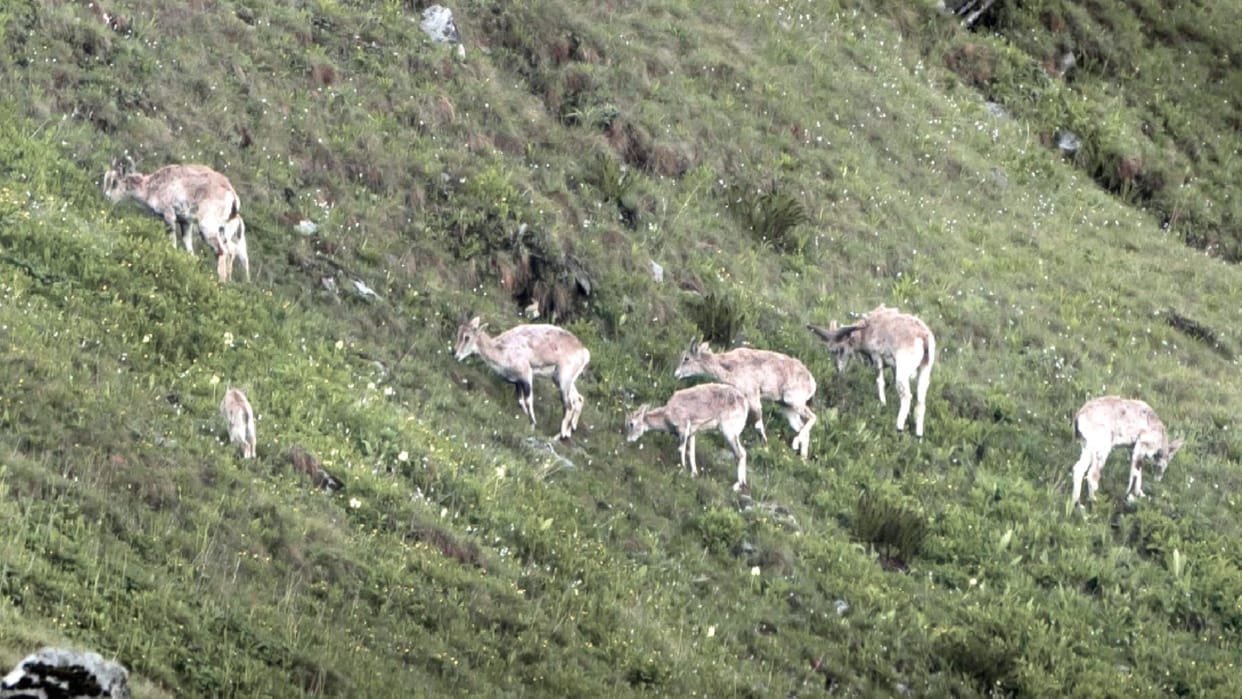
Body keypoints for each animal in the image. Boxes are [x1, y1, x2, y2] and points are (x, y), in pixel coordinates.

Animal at [102, 156, 250, 282]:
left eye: (114, 182)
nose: (107, 198)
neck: (153, 187)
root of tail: (232, 196)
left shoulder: (169, 215)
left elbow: (172, 242)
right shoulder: (185, 222)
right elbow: (189, 248)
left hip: (208, 227)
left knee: (223, 251)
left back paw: (221, 282)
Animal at [454, 316, 590, 440]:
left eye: (467, 337)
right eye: (459, 332)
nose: (455, 355)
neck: (502, 350)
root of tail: (584, 352)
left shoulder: (526, 374)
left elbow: (528, 401)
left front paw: (533, 424)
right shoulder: (517, 382)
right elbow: (520, 402)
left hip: (564, 378)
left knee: (569, 405)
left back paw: (560, 435)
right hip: (560, 379)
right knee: (578, 399)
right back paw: (570, 430)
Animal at [673, 341, 817, 459]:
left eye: (686, 358)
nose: (676, 374)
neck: (730, 367)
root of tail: (812, 382)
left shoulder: (753, 396)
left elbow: (758, 424)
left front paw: (765, 444)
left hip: (794, 401)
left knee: (812, 417)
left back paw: (795, 444)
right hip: (787, 408)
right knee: (801, 427)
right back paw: (803, 458)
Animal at [808, 304, 936, 438]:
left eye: (841, 349)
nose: (839, 371)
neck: (867, 330)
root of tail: (923, 336)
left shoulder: (877, 358)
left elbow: (880, 382)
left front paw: (883, 403)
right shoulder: (894, 367)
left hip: (904, 371)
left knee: (906, 396)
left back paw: (899, 428)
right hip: (924, 370)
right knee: (921, 402)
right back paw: (918, 436)